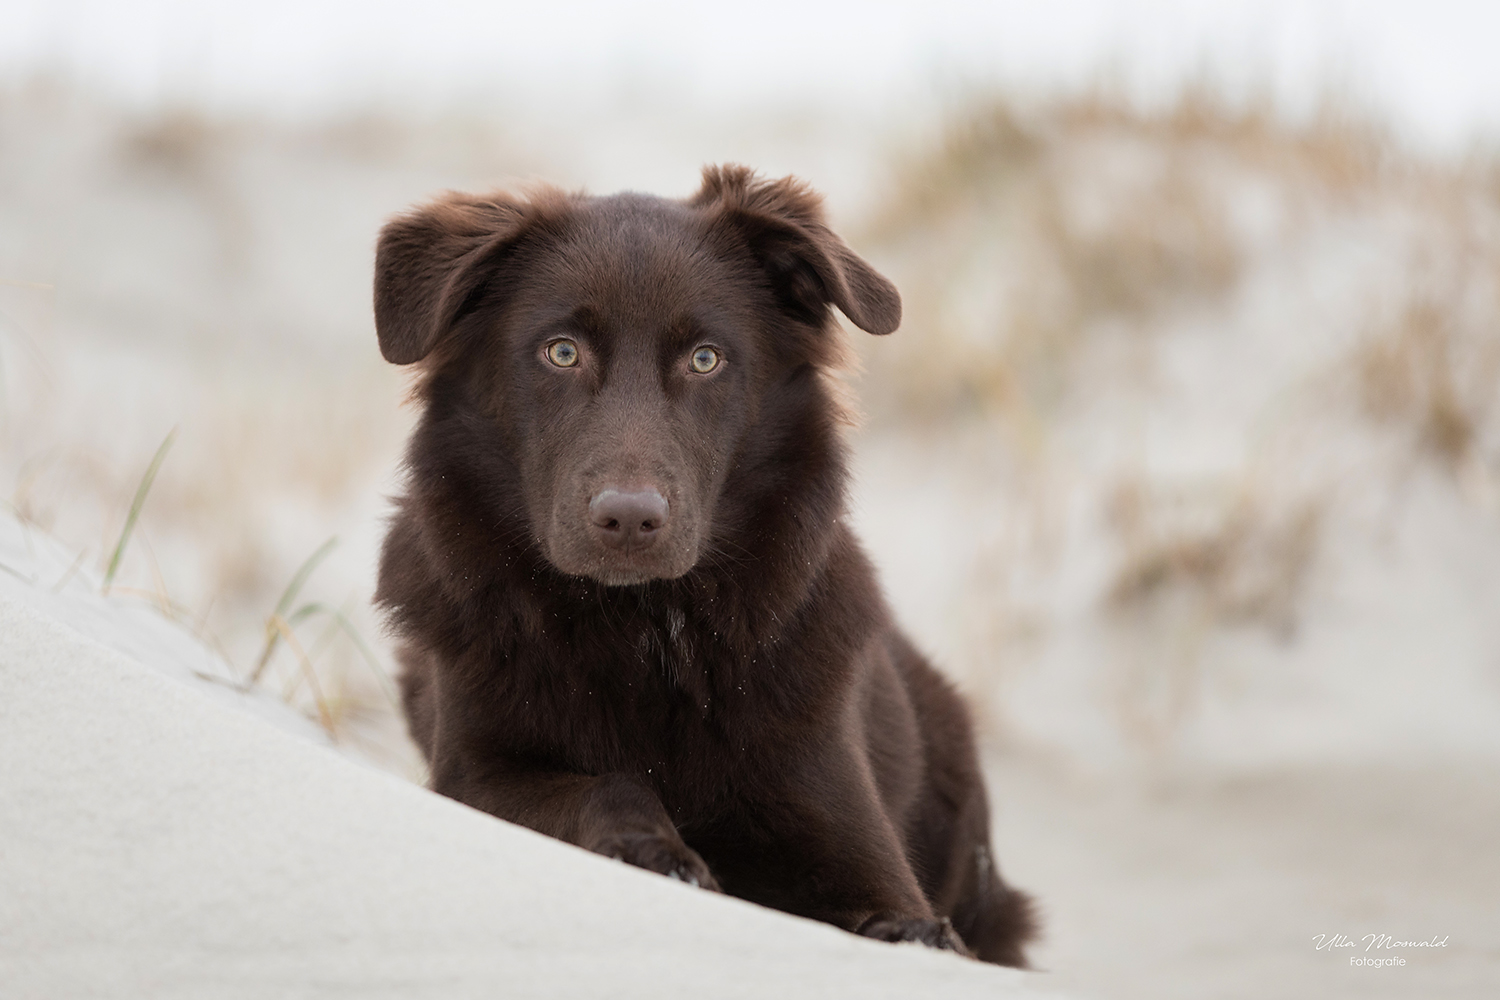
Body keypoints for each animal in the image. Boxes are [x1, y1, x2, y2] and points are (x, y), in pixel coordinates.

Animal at [372, 164, 1032, 959]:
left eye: (706, 359)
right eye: (561, 351)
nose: (629, 520)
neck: (642, 630)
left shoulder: (839, 818)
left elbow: (888, 904)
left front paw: (913, 936)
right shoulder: (471, 774)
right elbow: (605, 785)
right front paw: (660, 855)